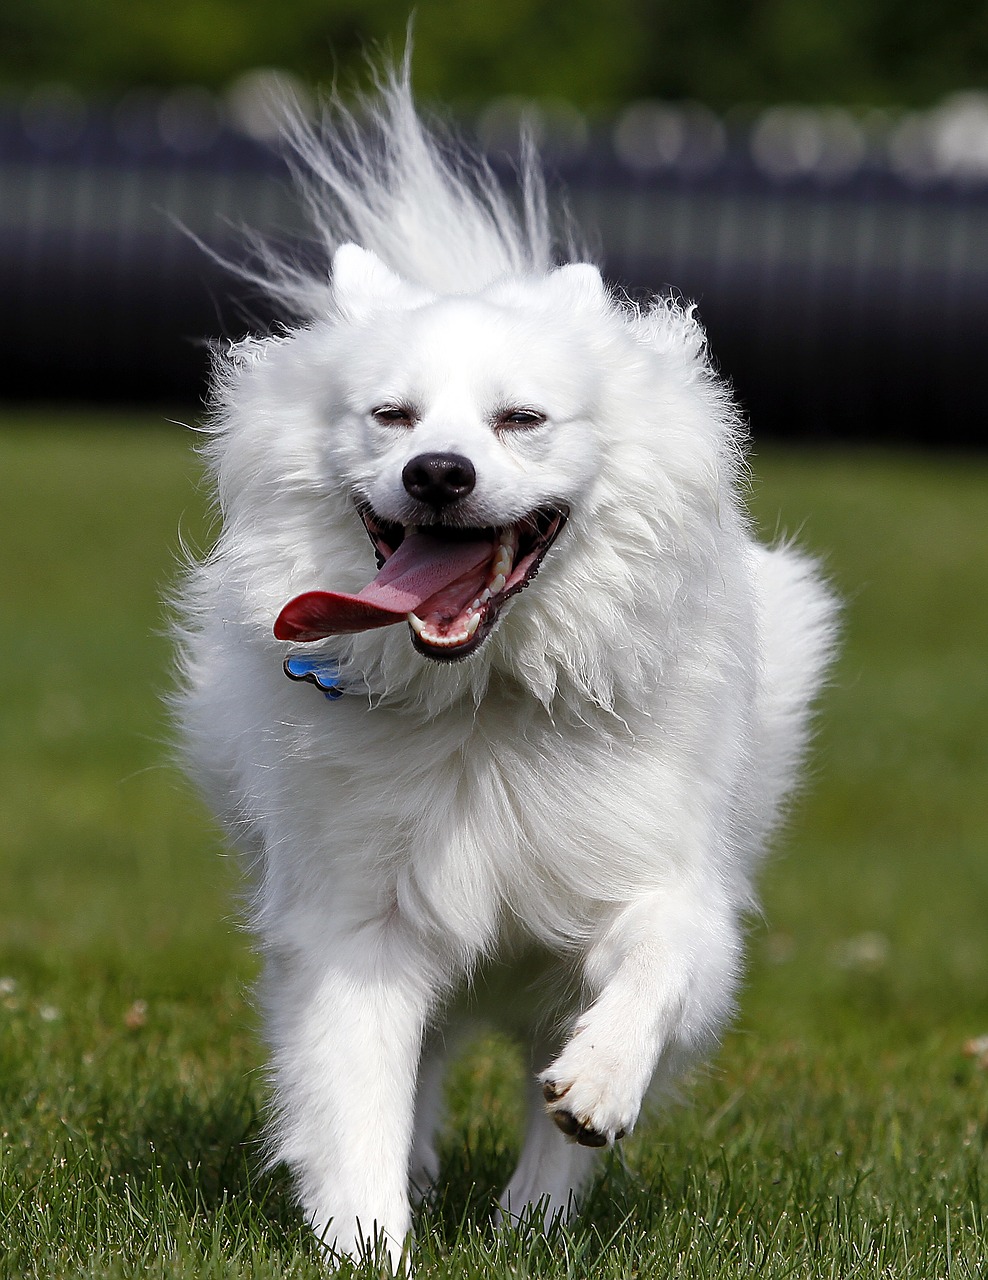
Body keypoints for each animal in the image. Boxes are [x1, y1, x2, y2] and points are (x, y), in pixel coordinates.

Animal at [175, 70, 834, 1269]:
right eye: (390, 416)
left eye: (521, 420)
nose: (438, 471)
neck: (481, 699)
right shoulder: (358, 922)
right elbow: (356, 1091)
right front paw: (368, 1237)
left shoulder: (668, 880)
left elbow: (653, 965)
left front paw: (598, 1087)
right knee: (429, 1062)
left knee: (543, 1100)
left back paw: (535, 1217)